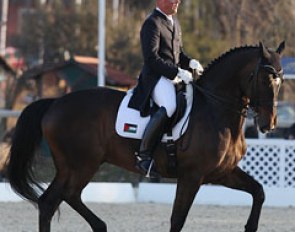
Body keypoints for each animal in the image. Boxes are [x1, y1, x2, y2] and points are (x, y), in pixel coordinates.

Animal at [5, 41, 286, 232]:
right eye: (264, 79)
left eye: (280, 81)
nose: (269, 124)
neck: (216, 110)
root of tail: (55, 103)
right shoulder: (192, 175)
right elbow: (177, 219)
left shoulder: (220, 173)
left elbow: (259, 192)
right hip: (81, 164)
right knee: (56, 199)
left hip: (73, 166)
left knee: (58, 199)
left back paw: (101, 226)